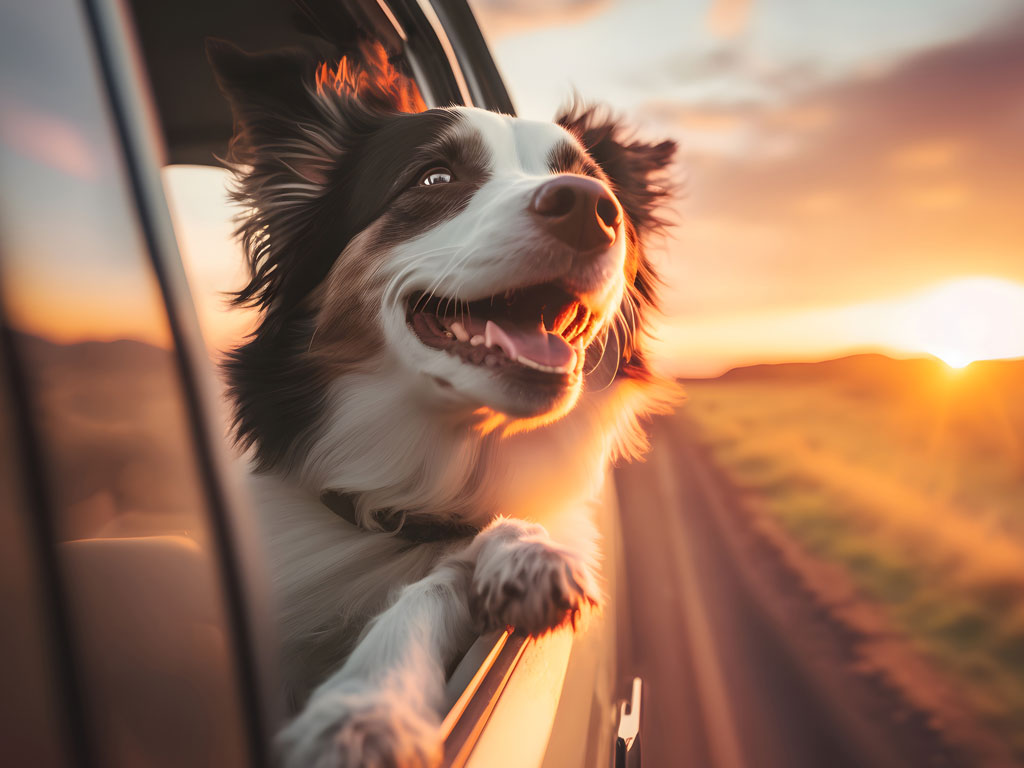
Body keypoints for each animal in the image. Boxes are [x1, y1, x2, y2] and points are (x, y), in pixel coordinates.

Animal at [205, 40, 679, 768]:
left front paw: (369, 705)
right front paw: (364, 712)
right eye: (433, 179)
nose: (591, 207)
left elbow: (439, 581)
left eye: (589, 180)